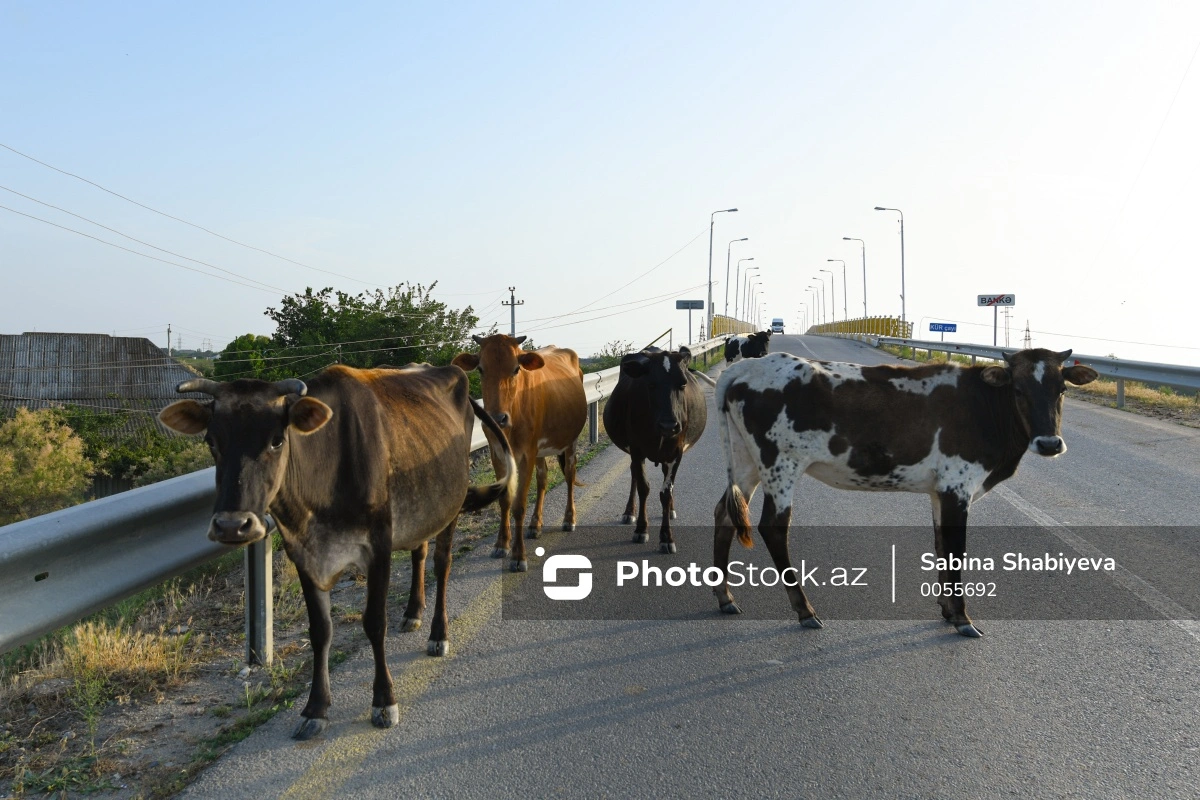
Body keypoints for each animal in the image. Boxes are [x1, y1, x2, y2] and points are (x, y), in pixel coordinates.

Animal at [159, 367, 516, 743]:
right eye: (212, 442)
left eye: (276, 440)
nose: (232, 525)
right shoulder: (303, 554)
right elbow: (320, 631)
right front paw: (315, 709)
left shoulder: (378, 546)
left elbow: (374, 622)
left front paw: (384, 700)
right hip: (423, 509)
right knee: (419, 552)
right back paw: (412, 613)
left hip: (451, 504)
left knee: (441, 563)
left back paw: (438, 634)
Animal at [451, 335, 588, 573]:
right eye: (480, 369)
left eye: (516, 369)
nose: (497, 418)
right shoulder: (497, 453)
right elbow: (505, 500)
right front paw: (501, 544)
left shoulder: (526, 454)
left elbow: (519, 505)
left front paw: (518, 555)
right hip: (541, 450)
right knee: (543, 479)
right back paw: (535, 524)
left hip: (569, 440)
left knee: (570, 475)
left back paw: (569, 519)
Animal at [604, 347, 705, 554]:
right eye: (650, 384)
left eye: (683, 384)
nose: (669, 425)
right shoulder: (636, 450)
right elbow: (644, 487)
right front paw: (641, 529)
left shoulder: (676, 453)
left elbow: (665, 493)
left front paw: (666, 537)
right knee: (634, 476)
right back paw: (629, 512)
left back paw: (671, 509)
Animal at [710, 350, 1099, 638]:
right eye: (1018, 390)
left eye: (1061, 390)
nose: (1049, 443)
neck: (982, 408)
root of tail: (746, 366)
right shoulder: (958, 484)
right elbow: (956, 551)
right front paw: (963, 618)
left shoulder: (941, 491)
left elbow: (941, 546)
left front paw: (948, 610)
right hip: (780, 462)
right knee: (773, 526)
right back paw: (804, 610)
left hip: (746, 461)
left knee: (725, 513)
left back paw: (725, 597)